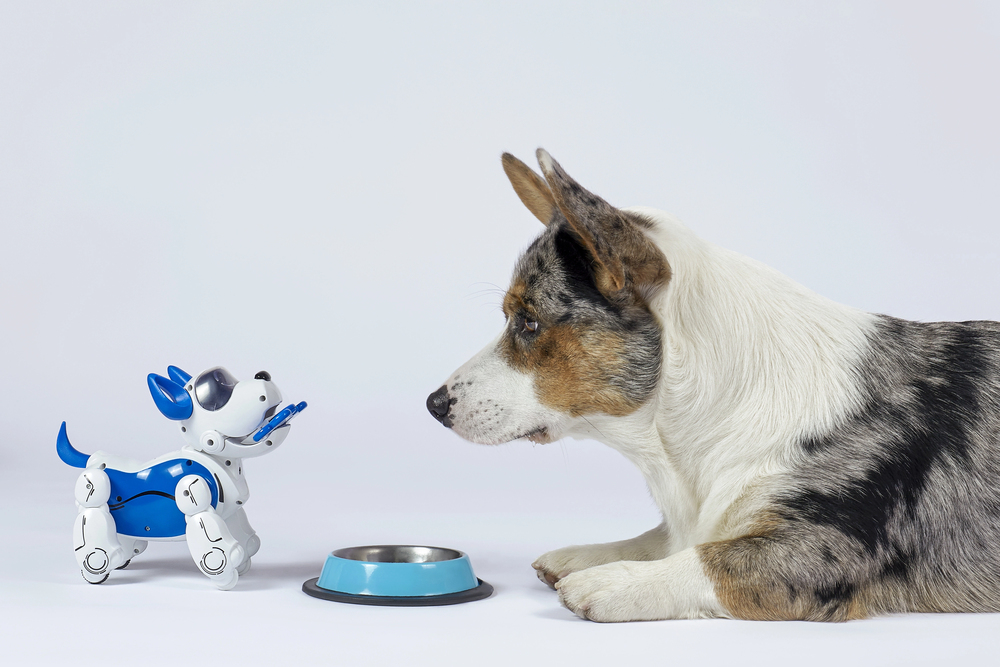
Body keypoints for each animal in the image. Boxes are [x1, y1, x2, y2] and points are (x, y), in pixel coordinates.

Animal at [426, 149, 1000, 624]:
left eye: (528, 323)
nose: (433, 405)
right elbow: (668, 538)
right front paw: (587, 556)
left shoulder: (822, 548)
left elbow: (708, 558)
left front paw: (610, 581)